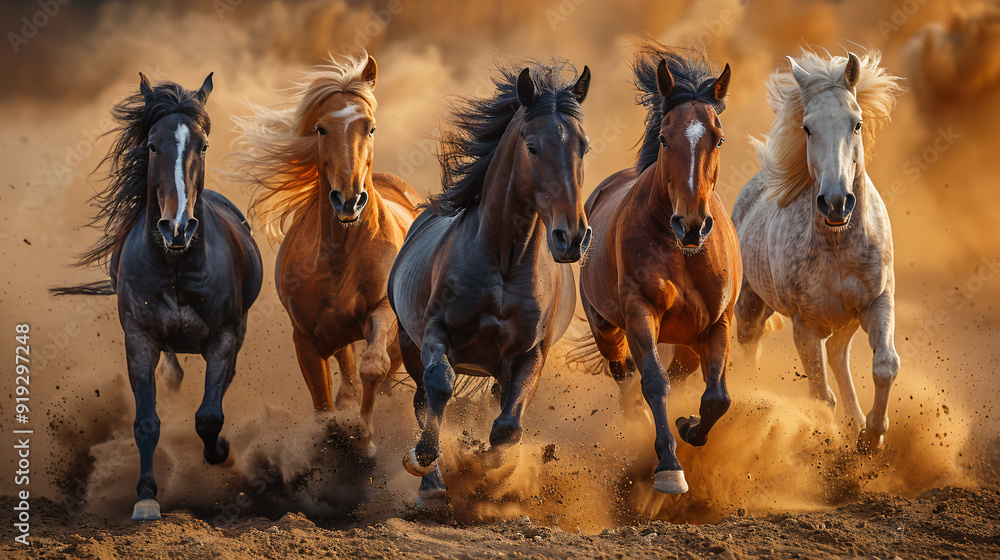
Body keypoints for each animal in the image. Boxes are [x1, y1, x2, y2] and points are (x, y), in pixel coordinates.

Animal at [52, 74, 264, 521]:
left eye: (202, 145)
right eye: (151, 145)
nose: (177, 226)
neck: (175, 268)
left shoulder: (223, 338)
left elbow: (209, 416)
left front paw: (221, 453)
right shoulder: (140, 338)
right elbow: (146, 422)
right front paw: (146, 498)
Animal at [230, 52, 421, 446]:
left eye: (371, 128)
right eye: (320, 129)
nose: (348, 200)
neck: (340, 254)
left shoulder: (383, 310)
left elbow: (374, 366)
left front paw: (364, 437)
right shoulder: (305, 337)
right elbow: (323, 404)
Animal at [387, 59, 592, 507]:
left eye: (583, 147)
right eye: (532, 147)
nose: (572, 237)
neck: (504, 264)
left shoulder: (530, 354)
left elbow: (508, 427)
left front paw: (490, 474)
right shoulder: (436, 332)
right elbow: (439, 387)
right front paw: (424, 460)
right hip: (409, 345)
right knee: (422, 398)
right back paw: (431, 485)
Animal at [575, 42, 739, 494]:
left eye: (719, 138)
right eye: (665, 138)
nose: (692, 225)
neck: (681, 252)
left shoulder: (718, 322)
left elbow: (717, 397)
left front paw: (688, 425)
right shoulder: (639, 311)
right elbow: (653, 382)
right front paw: (669, 466)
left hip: (686, 343)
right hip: (607, 330)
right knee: (627, 380)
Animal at [733, 49, 903, 451]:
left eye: (857, 123)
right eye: (808, 128)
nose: (836, 202)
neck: (837, 247)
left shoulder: (878, 301)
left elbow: (885, 366)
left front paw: (871, 438)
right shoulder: (804, 326)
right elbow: (821, 396)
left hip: (846, 322)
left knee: (839, 358)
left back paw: (857, 424)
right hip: (750, 306)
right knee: (751, 350)